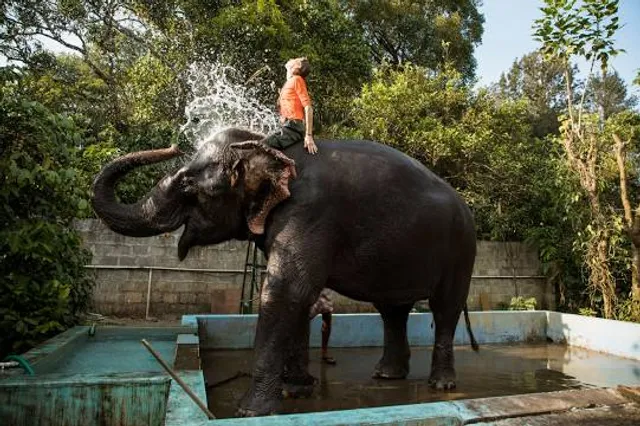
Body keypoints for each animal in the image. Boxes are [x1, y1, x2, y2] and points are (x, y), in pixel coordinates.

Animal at [91, 127, 479, 417]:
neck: (265, 146)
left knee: (444, 309)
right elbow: (297, 296)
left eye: (188, 185)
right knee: (392, 311)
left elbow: (287, 290)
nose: (172, 146)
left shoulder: (310, 213)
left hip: (461, 249)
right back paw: (386, 377)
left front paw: (251, 411)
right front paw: (296, 390)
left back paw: (441, 384)